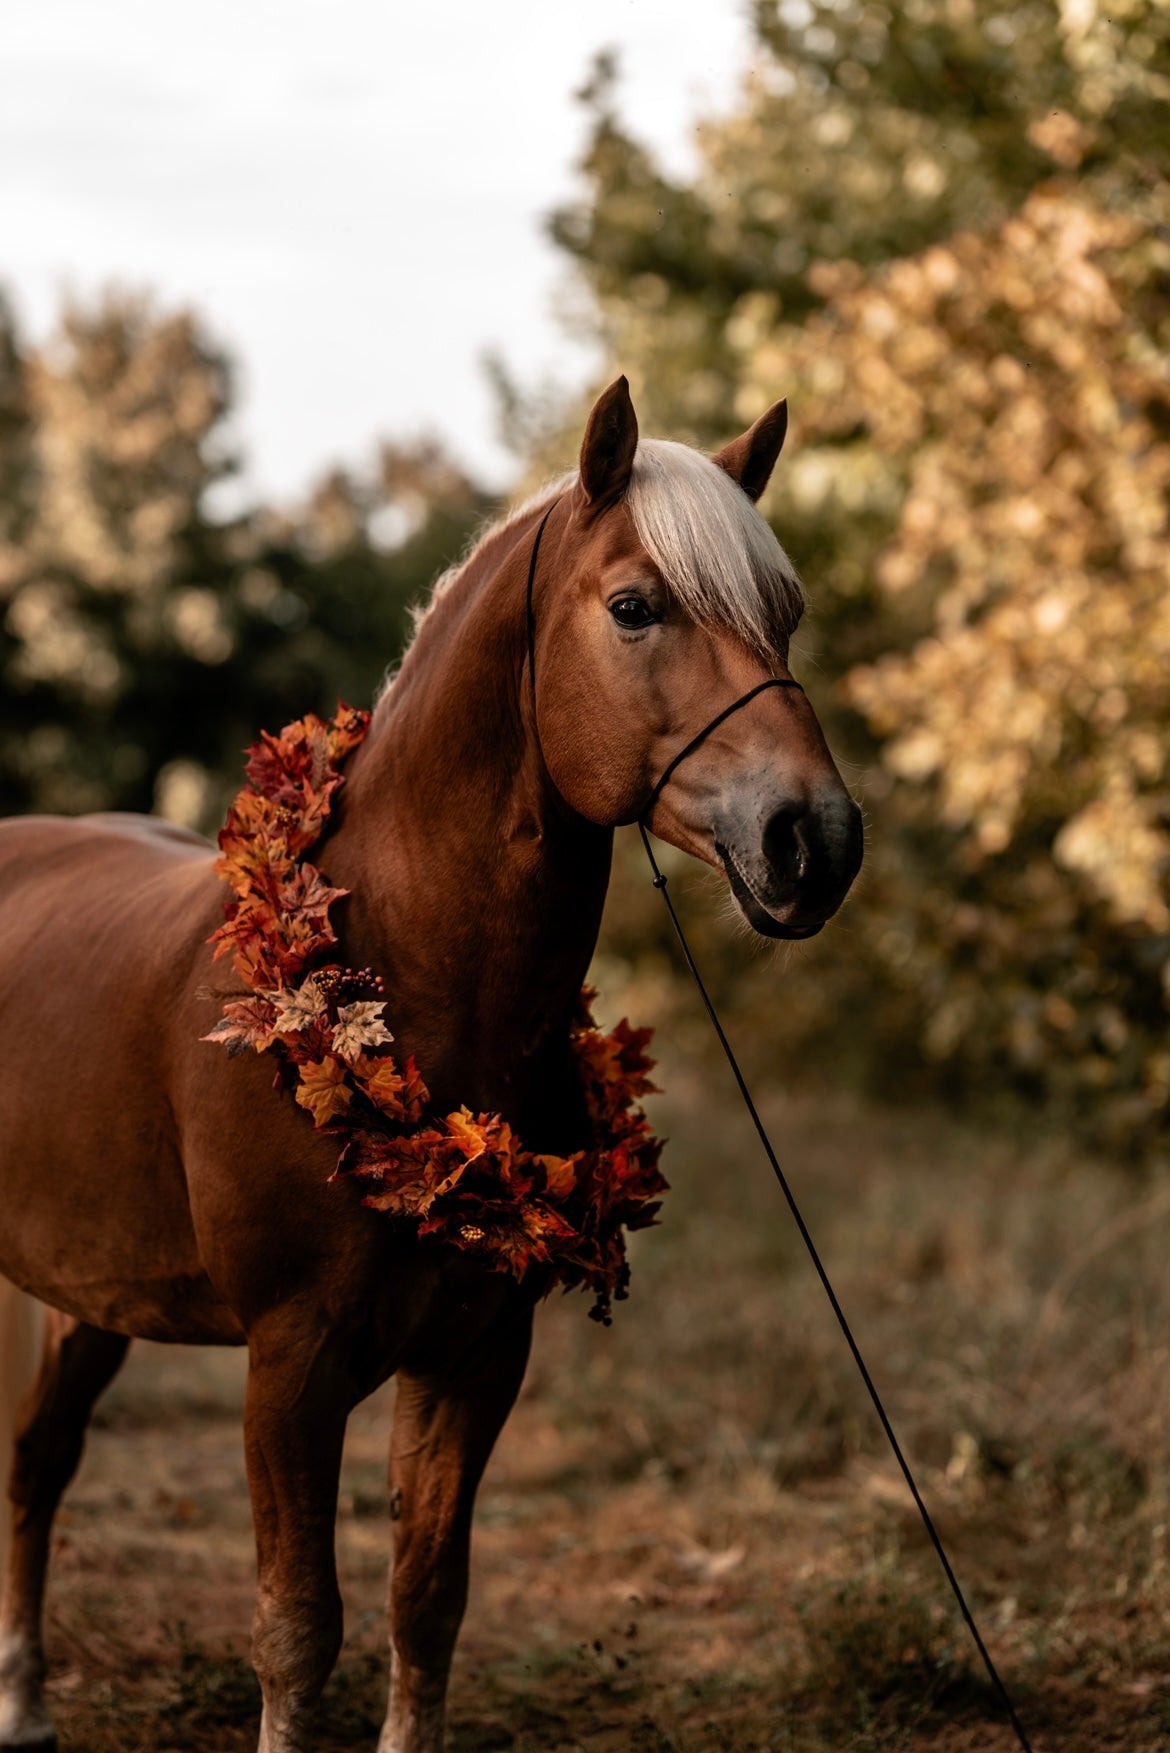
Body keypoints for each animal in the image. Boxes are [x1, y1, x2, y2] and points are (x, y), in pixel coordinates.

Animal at [0, 383, 859, 1753]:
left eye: (786, 613)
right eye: (635, 607)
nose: (814, 842)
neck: (395, 979)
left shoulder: (473, 1356)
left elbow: (426, 1602)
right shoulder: (289, 1368)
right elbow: (298, 1630)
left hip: (88, 1298)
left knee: (37, 1461)